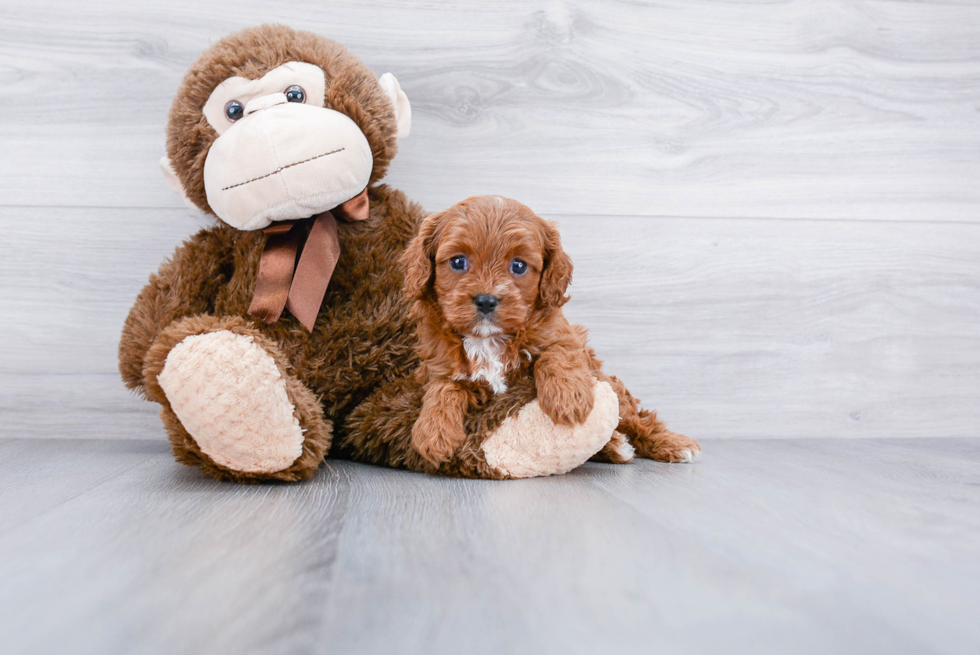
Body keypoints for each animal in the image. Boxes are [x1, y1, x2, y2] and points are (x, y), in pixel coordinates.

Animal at [402, 193, 700, 466]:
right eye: (458, 262)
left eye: (518, 266)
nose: (486, 300)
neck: (489, 339)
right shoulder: (438, 364)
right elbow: (444, 387)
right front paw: (434, 433)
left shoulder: (565, 335)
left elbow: (556, 355)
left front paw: (568, 400)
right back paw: (616, 445)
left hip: (612, 387)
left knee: (637, 419)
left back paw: (671, 444)